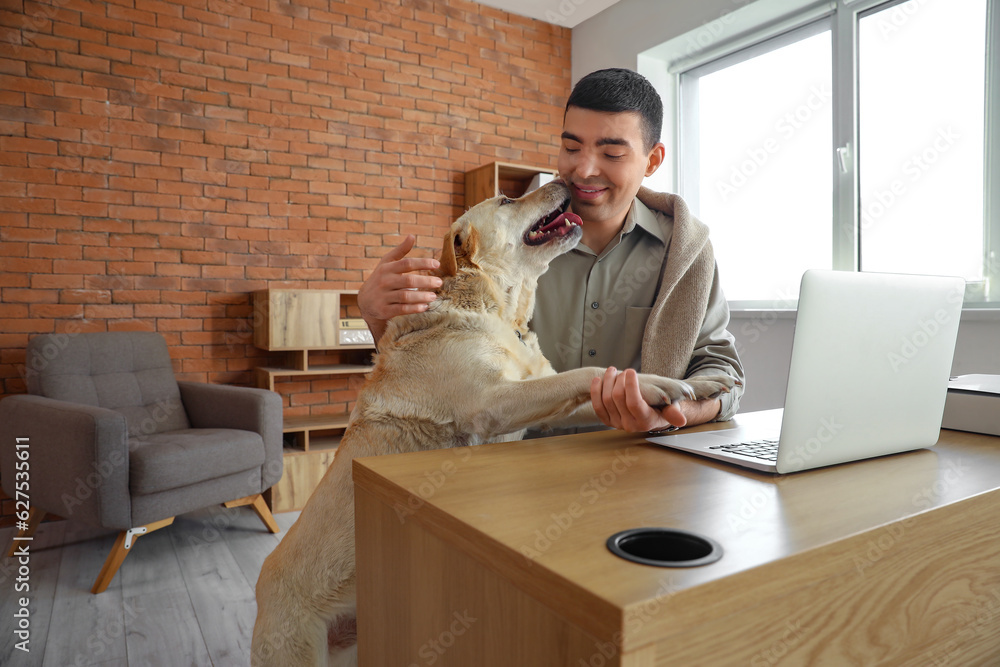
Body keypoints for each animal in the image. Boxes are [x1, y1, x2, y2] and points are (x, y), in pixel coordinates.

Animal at [250, 180, 736, 664]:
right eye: (506, 200)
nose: (562, 179)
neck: (497, 310)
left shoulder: (536, 392)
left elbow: (593, 384)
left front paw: (692, 385)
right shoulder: (493, 401)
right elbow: (586, 374)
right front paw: (657, 386)